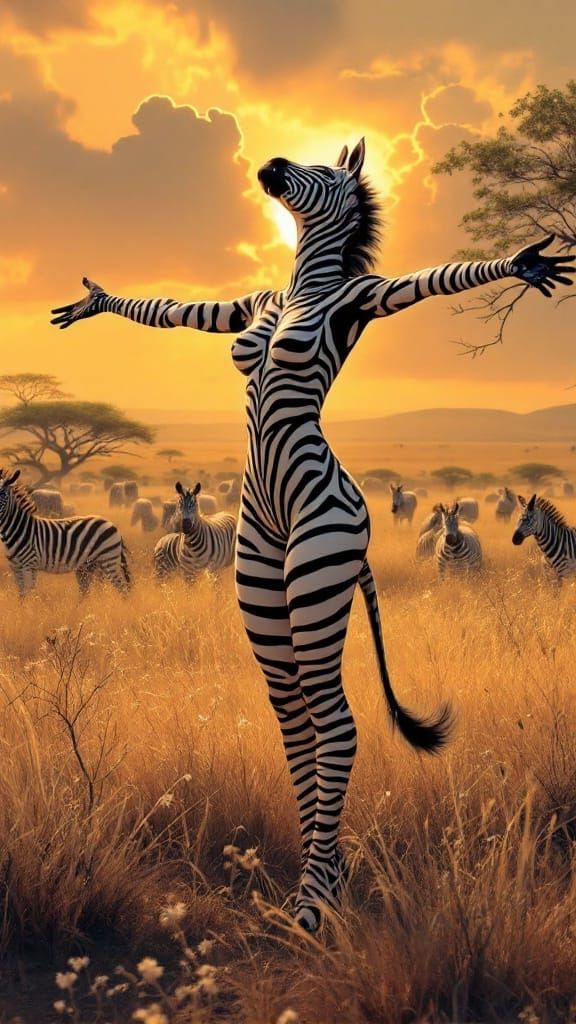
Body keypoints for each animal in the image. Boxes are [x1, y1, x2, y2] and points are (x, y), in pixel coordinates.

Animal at [0, 468, 130, 596]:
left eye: (3, 494)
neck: (20, 529)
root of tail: (111, 524)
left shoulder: (29, 565)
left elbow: (30, 593)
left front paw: (31, 603)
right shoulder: (16, 567)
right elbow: (22, 595)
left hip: (109, 559)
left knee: (122, 589)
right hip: (93, 565)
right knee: (95, 589)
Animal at [50, 138, 574, 931]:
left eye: (323, 173)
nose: (269, 164)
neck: (304, 284)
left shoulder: (371, 296)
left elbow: (429, 280)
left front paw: (525, 261)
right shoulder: (244, 309)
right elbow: (182, 311)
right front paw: (96, 299)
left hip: (319, 568)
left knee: (339, 722)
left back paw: (318, 899)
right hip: (264, 584)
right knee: (295, 717)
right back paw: (313, 878)